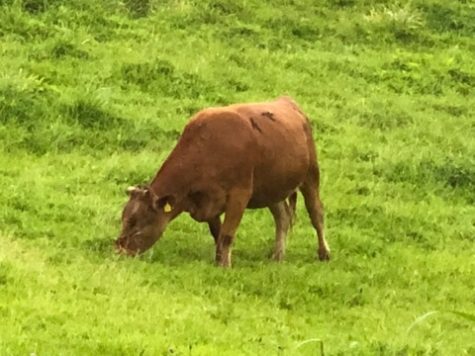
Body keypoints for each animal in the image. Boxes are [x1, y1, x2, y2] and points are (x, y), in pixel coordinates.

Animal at [115, 97, 330, 268]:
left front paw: (224, 266)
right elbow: (217, 233)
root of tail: (288, 102)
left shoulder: (239, 195)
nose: (119, 250)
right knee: (283, 217)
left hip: (311, 175)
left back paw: (324, 253)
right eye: (124, 218)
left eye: (137, 221)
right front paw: (219, 260)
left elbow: (226, 235)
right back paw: (278, 256)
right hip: (271, 188)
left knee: (316, 213)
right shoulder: (208, 201)